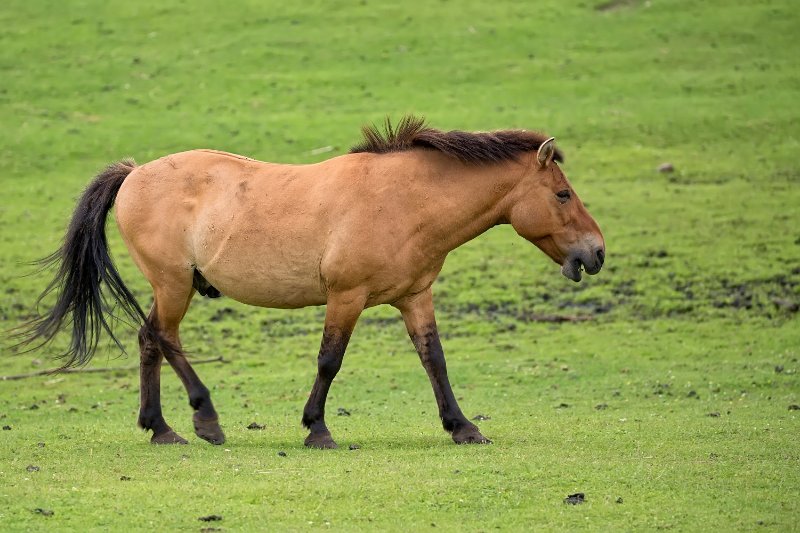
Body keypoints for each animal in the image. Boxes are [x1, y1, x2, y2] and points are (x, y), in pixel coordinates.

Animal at [17, 117, 608, 448]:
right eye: (562, 194)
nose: (597, 252)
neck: (405, 199)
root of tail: (134, 173)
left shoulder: (414, 297)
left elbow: (434, 360)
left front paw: (462, 427)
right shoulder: (346, 297)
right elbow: (330, 361)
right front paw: (317, 429)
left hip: (172, 289)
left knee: (148, 340)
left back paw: (161, 428)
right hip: (173, 285)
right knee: (162, 338)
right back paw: (205, 419)